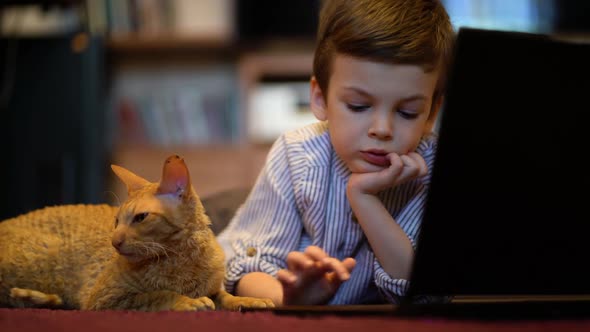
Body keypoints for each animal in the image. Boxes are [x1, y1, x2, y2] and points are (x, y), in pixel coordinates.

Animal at [0, 156, 272, 312]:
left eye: (140, 218)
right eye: (116, 221)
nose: (114, 242)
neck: (181, 260)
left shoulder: (214, 287)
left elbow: (225, 295)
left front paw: (248, 301)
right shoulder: (105, 298)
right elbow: (157, 294)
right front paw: (187, 301)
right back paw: (37, 298)